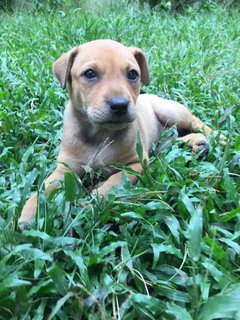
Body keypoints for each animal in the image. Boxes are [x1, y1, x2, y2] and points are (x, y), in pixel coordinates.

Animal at [18, 39, 221, 225]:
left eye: (133, 74)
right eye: (90, 73)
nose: (120, 105)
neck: (100, 134)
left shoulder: (137, 163)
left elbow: (116, 180)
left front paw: (95, 199)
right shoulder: (65, 168)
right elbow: (46, 185)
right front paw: (31, 211)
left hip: (172, 112)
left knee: (197, 123)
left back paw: (219, 138)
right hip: (162, 139)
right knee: (175, 139)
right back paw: (198, 144)